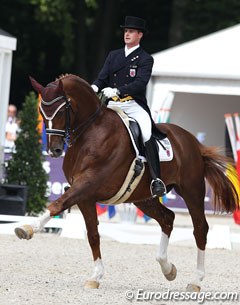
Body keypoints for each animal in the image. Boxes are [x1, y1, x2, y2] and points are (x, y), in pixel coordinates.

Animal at [15, 73, 238, 290]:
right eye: (42, 111)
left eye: (61, 111)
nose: (54, 150)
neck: (91, 131)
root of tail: (193, 142)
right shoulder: (85, 195)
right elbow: (93, 234)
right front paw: (96, 276)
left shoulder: (87, 184)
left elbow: (57, 204)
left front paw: (27, 228)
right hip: (143, 197)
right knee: (168, 218)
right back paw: (168, 269)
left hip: (192, 190)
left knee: (200, 228)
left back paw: (196, 281)